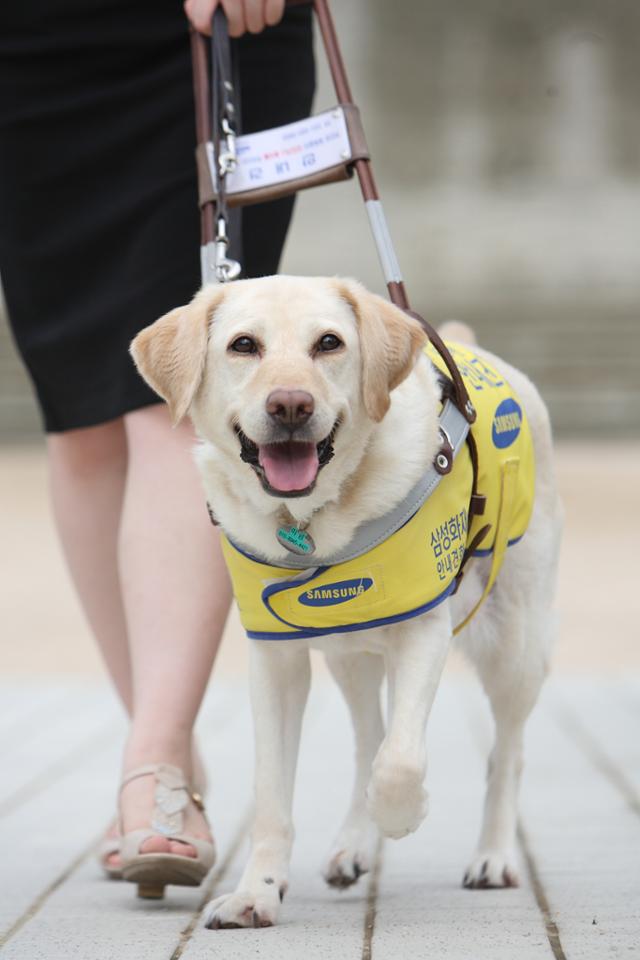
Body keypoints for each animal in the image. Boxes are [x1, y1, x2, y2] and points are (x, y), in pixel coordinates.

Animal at [130, 276, 560, 928]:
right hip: (349, 654)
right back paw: (354, 847)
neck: (310, 519)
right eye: (244, 345)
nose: (290, 406)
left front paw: (401, 814)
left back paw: (491, 857)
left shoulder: (423, 629)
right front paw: (257, 893)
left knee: (502, 754)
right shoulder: (275, 659)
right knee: (366, 736)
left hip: (516, 641)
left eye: (328, 343)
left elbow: (401, 760)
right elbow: (273, 792)